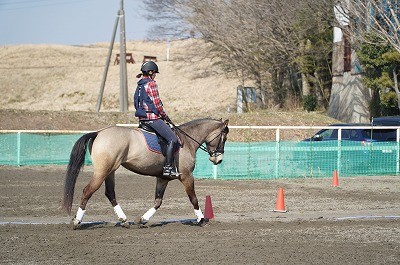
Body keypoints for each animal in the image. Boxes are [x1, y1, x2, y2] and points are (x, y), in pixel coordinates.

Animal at [59, 117, 228, 227]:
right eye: (224, 137)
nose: (218, 159)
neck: (186, 142)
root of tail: (99, 132)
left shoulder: (162, 179)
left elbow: (158, 202)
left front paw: (143, 219)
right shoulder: (187, 176)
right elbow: (193, 198)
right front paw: (201, 219)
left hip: (110, 171)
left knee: (110, 193)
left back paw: (124, 220)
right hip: (102, 171)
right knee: (88, 191)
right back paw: (77, 221)